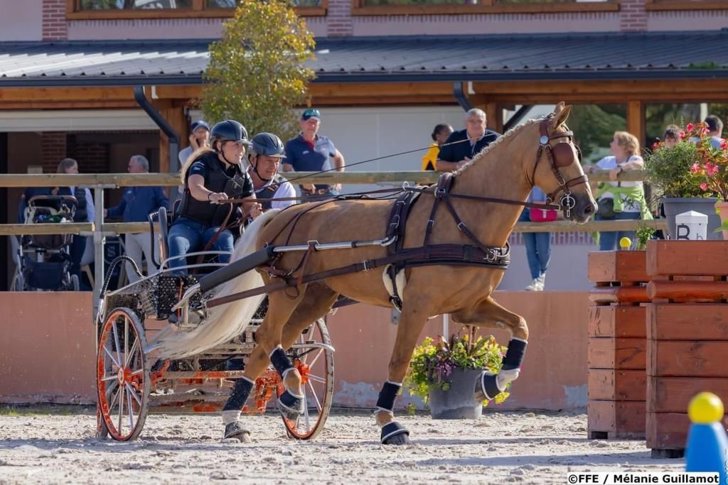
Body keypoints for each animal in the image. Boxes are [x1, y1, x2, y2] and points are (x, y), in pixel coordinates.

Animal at [156, 102, 596, 442]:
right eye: (561, 154)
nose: (588, 206)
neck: (461, 217)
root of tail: (281, 216)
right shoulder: (417, 306)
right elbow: (398, 362)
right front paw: (388, 423)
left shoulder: (468, 306)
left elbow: (522, 325)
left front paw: (492, 382)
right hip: (286, 292)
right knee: (266, 339)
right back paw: (250, 410)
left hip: (318, 295)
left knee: (278, 341)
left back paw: (277, 401)